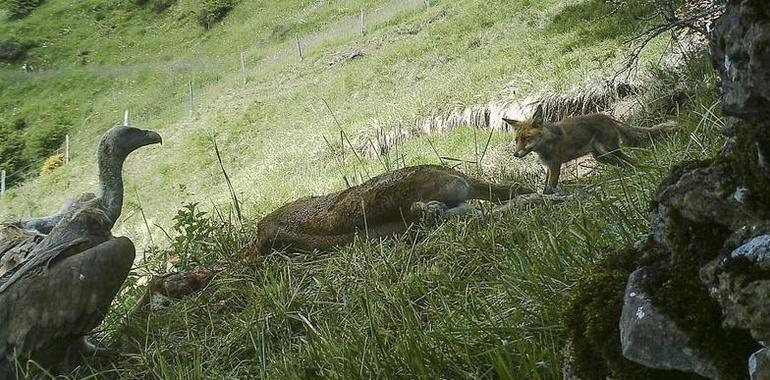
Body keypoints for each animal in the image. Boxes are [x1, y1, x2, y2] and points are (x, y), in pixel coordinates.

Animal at [498, 104, 672, 193]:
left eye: (527, 139)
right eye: (516, 140)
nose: (515, 154)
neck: (545, 146)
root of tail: (608, 117)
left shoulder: (555, 166)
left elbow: (550, 188)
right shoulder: (548, 167)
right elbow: (545, 188)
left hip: (608, 151)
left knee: (631, 159)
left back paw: (638, 171)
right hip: (602, 157)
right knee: (625, 163)